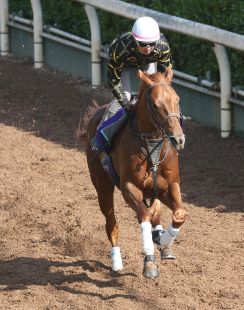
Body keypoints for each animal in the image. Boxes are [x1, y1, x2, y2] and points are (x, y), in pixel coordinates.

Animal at [83, 67, 186, 278]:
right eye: (155, 104)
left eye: (177, 99)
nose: (178, 139)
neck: (152, 144)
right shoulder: (129, 187)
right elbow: (144, 216)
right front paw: (149, 257)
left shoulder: (170, 186)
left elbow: (179, 214)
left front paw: (163, 241)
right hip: (102, 186)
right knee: (112, 223)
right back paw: (116, 262)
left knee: (155, 212)